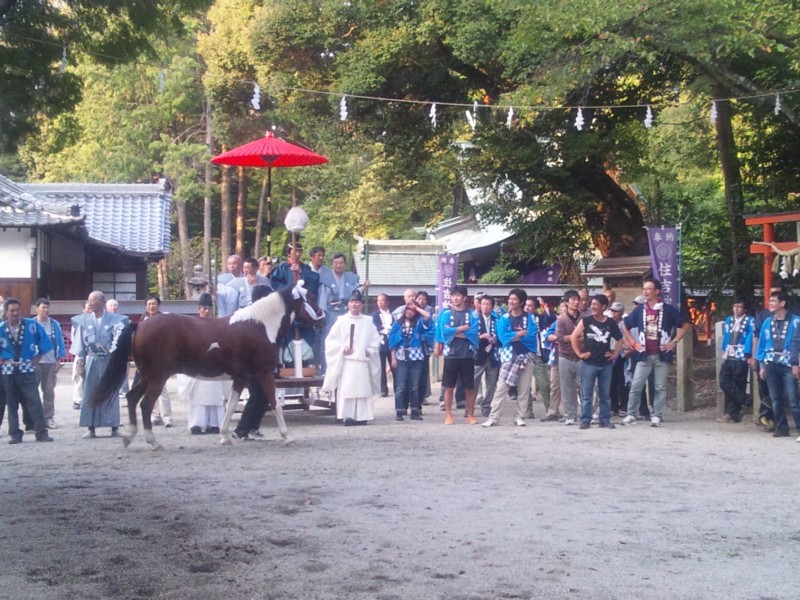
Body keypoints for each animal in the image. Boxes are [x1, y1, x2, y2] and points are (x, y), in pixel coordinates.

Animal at [88, 282, 322, 450]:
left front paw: (225, 437)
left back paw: (129, 437)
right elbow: (275, 404)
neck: (260, 325)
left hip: (146, 376)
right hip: (158, 377)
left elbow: (231, 406)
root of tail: (141, 324)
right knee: (145, 404)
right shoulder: (264, 374)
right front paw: (288, 437)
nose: (322, 317)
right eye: (310, 297)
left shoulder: (241, 377)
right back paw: (153, 442)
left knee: (131, 398)